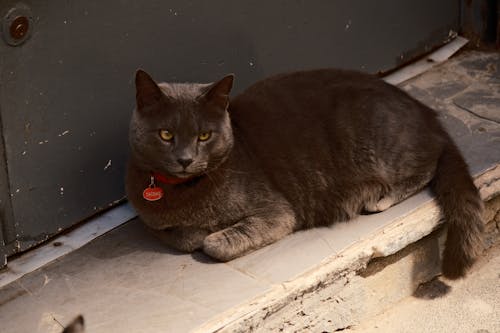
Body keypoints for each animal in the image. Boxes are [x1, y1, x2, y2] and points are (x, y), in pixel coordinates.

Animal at [127, 68, 482, 278]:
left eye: (204, 135)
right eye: (166, 134)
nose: (185, 159)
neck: (185, 192)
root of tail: (427, 112)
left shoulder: (276, 213)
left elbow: (214, 244)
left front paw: (209, 236)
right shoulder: (150, 220)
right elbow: (180, 236)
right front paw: (195, 232)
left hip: (383, 143)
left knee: (428, 165)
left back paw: (378, 197)